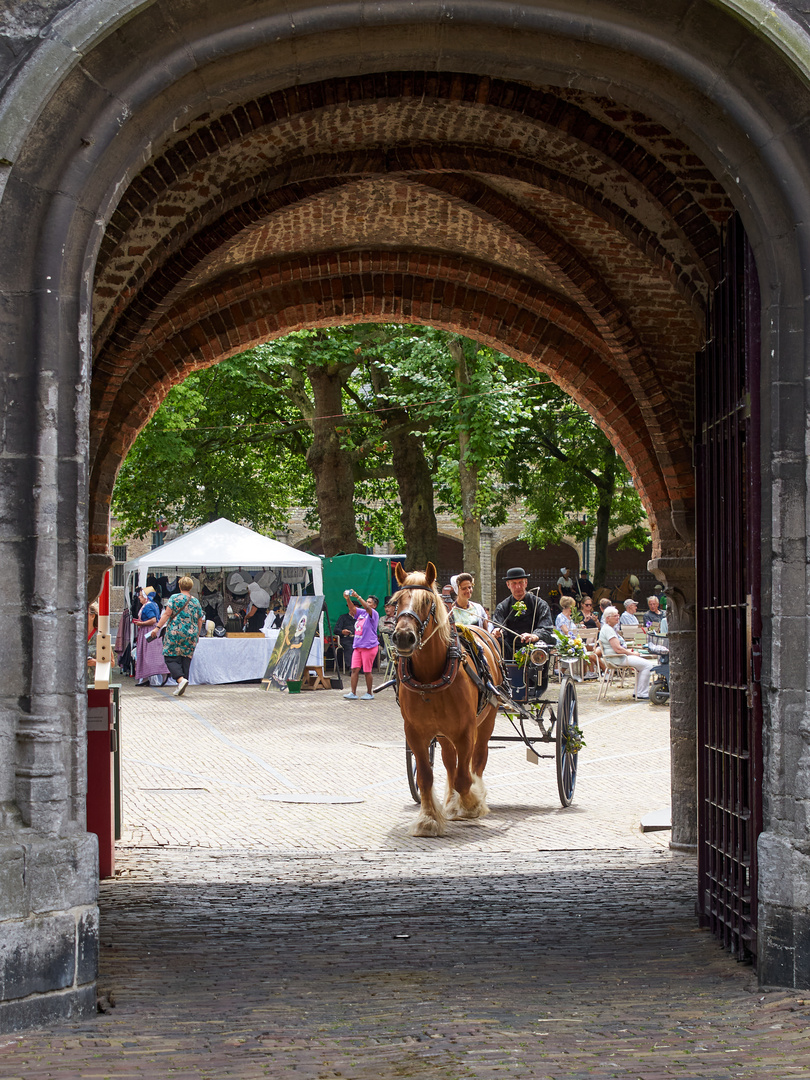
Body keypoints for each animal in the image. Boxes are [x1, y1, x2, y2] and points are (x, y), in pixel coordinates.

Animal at [393, 561, 507, 838]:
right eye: (397, 601)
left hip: (486, 721)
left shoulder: (466, 730)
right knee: (449, 761)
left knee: (477, 760)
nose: (403, 637)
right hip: (444, 733)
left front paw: (472, 804)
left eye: (427, 601)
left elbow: (464, 778)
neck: (430, 677)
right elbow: (425, 776)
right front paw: (428, 819)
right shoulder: (415, 733)